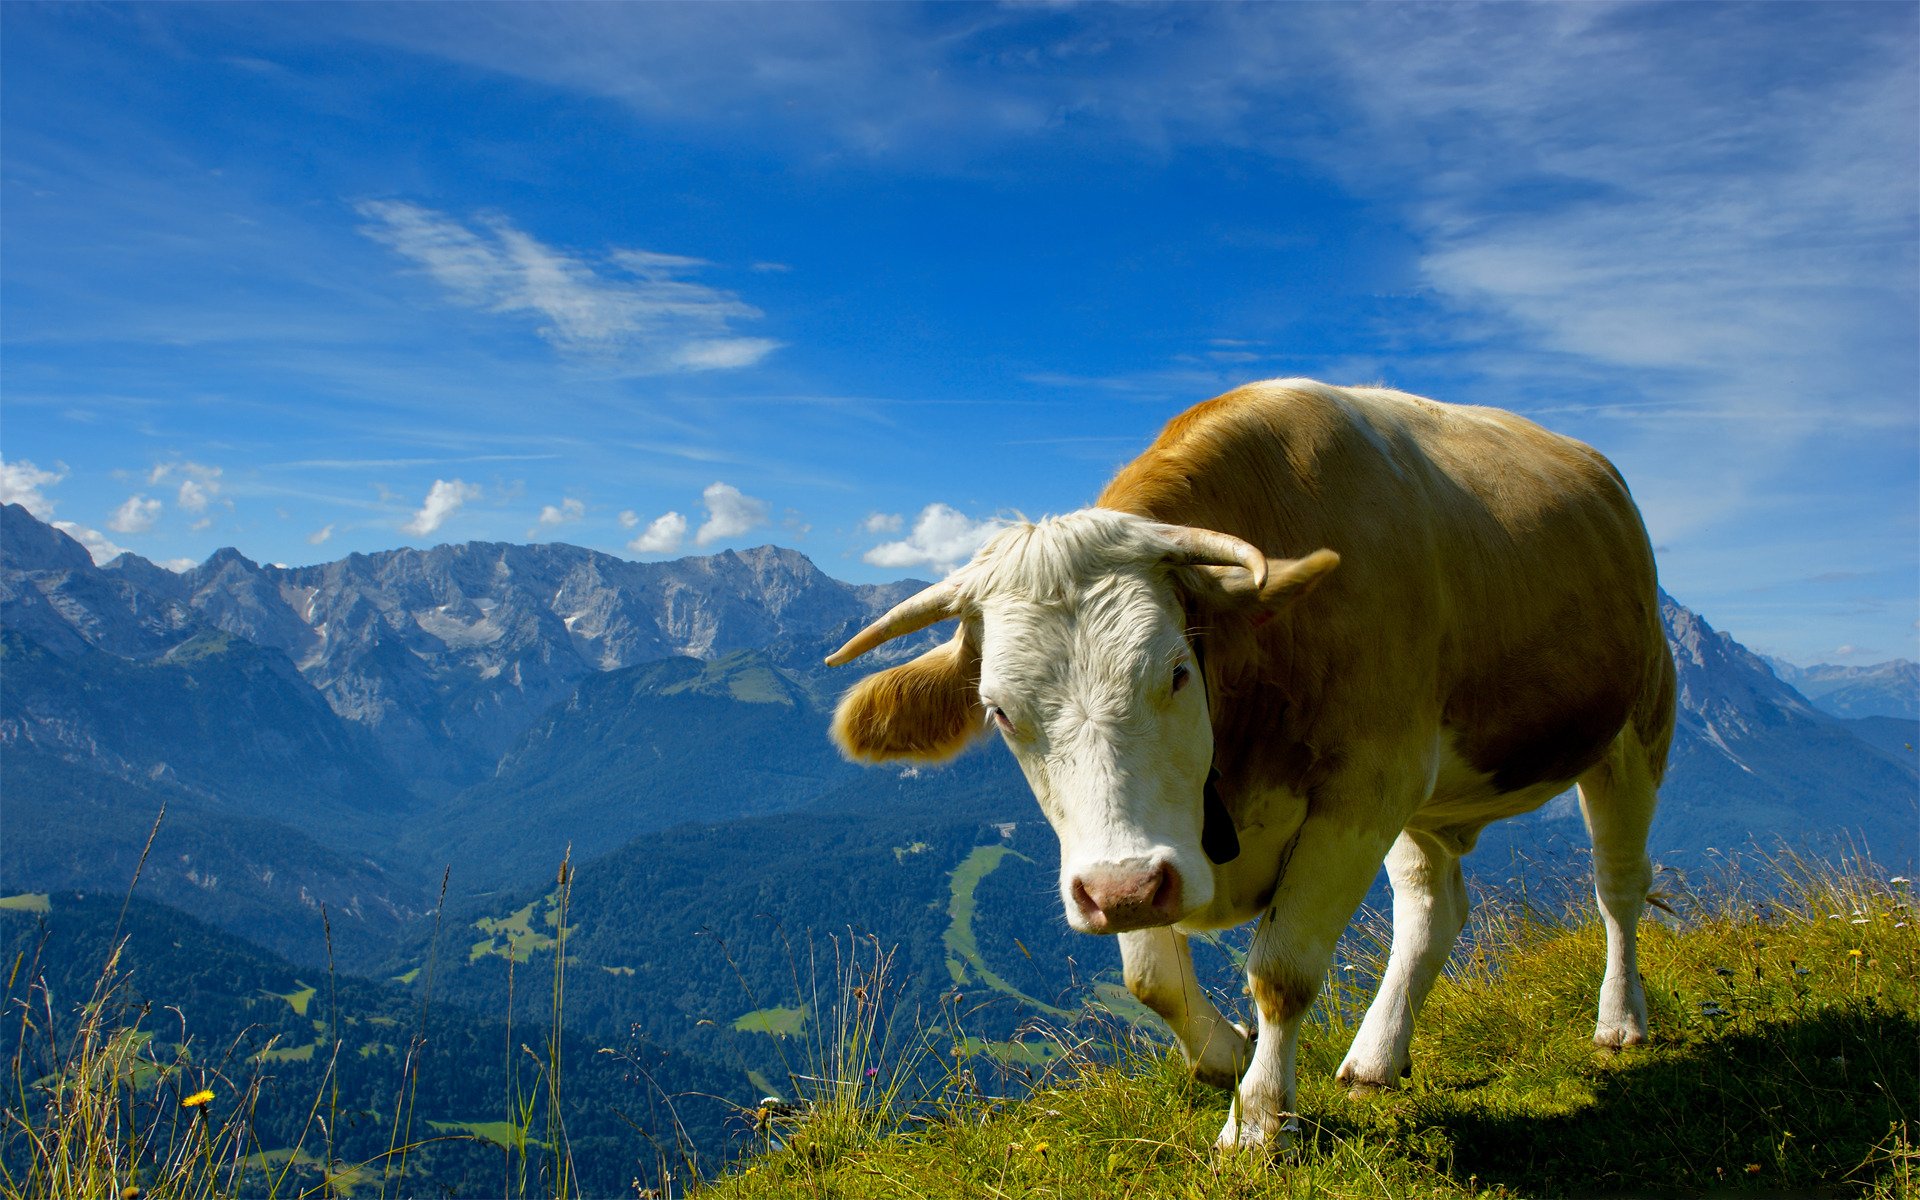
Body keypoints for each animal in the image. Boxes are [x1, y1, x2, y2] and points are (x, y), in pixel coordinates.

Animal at [823, 378, 1675, 1150]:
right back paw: (1377, 1056)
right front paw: (1229, 1054)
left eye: (1176, 672)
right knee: (1433, 906)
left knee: (1618, 886)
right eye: (1000, 711)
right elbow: (1150, 977)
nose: (1121, 891)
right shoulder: (1155, 848)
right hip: (1428, 801)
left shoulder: (1362, 792)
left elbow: (1282, 972)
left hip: (1636, 727)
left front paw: (1260, 1121)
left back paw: (1621, 1020)